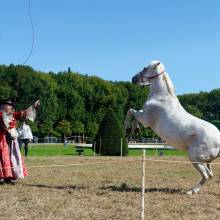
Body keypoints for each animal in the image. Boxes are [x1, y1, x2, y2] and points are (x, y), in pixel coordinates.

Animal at [125, 60, 220, 194]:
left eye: (145, 68)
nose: (133, 79)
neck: (161, 98)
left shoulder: (145, 119)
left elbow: (131, 111)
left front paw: (130, 127)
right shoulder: (143, 116)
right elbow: (132, 112)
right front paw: (134, 128)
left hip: (196, 158)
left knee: (206, 175)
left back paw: (192, 191)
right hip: (206, 161)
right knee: (210, 175)